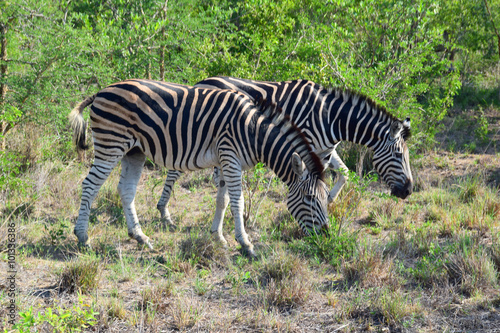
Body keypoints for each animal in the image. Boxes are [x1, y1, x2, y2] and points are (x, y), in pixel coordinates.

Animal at [68, 78, 330, 254]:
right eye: (309, 198)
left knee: (126, 190)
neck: (254, 131)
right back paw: (83, 237)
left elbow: (223, 200)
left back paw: (140, 237)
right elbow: (238, 201)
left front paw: (218, 237)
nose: (326, 235)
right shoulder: (230, 156)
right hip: (111, 144)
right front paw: (246, 243)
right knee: (90, 185)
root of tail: (101, 91)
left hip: (134, 151)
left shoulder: (225, 160)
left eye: (326, 197)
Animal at [157, 76, 414, 236]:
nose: (408, 191)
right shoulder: (305, 143)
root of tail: (199, 82)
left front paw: (329, 200)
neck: (331, 117)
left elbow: (343, 173)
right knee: (175, 168)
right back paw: (164, 213)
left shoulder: (325, 150)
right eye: (398, 154)